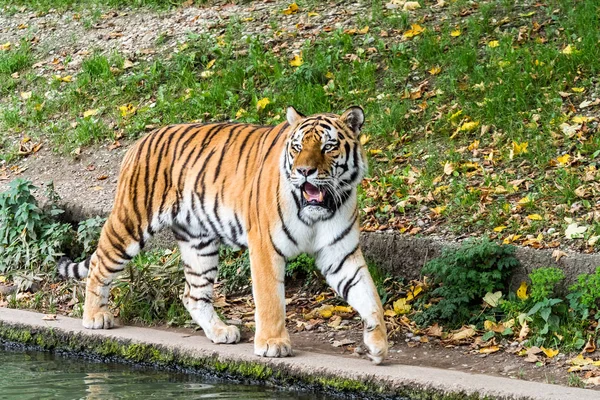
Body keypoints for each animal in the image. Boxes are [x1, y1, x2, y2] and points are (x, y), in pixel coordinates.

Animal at [58, 105, 390, 362]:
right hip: (131, 222)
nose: (304, 171)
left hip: (199, 242)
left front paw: (378, 345)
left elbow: (368, 295)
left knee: (192, 294)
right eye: (297, 147)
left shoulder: (340, 252)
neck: (321, 210)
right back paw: (95, 317)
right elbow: (271, 300)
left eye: (328, 147)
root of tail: (141, 139)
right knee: (99, 264)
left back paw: (220, 331)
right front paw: (273, 344)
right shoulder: (265, 246)